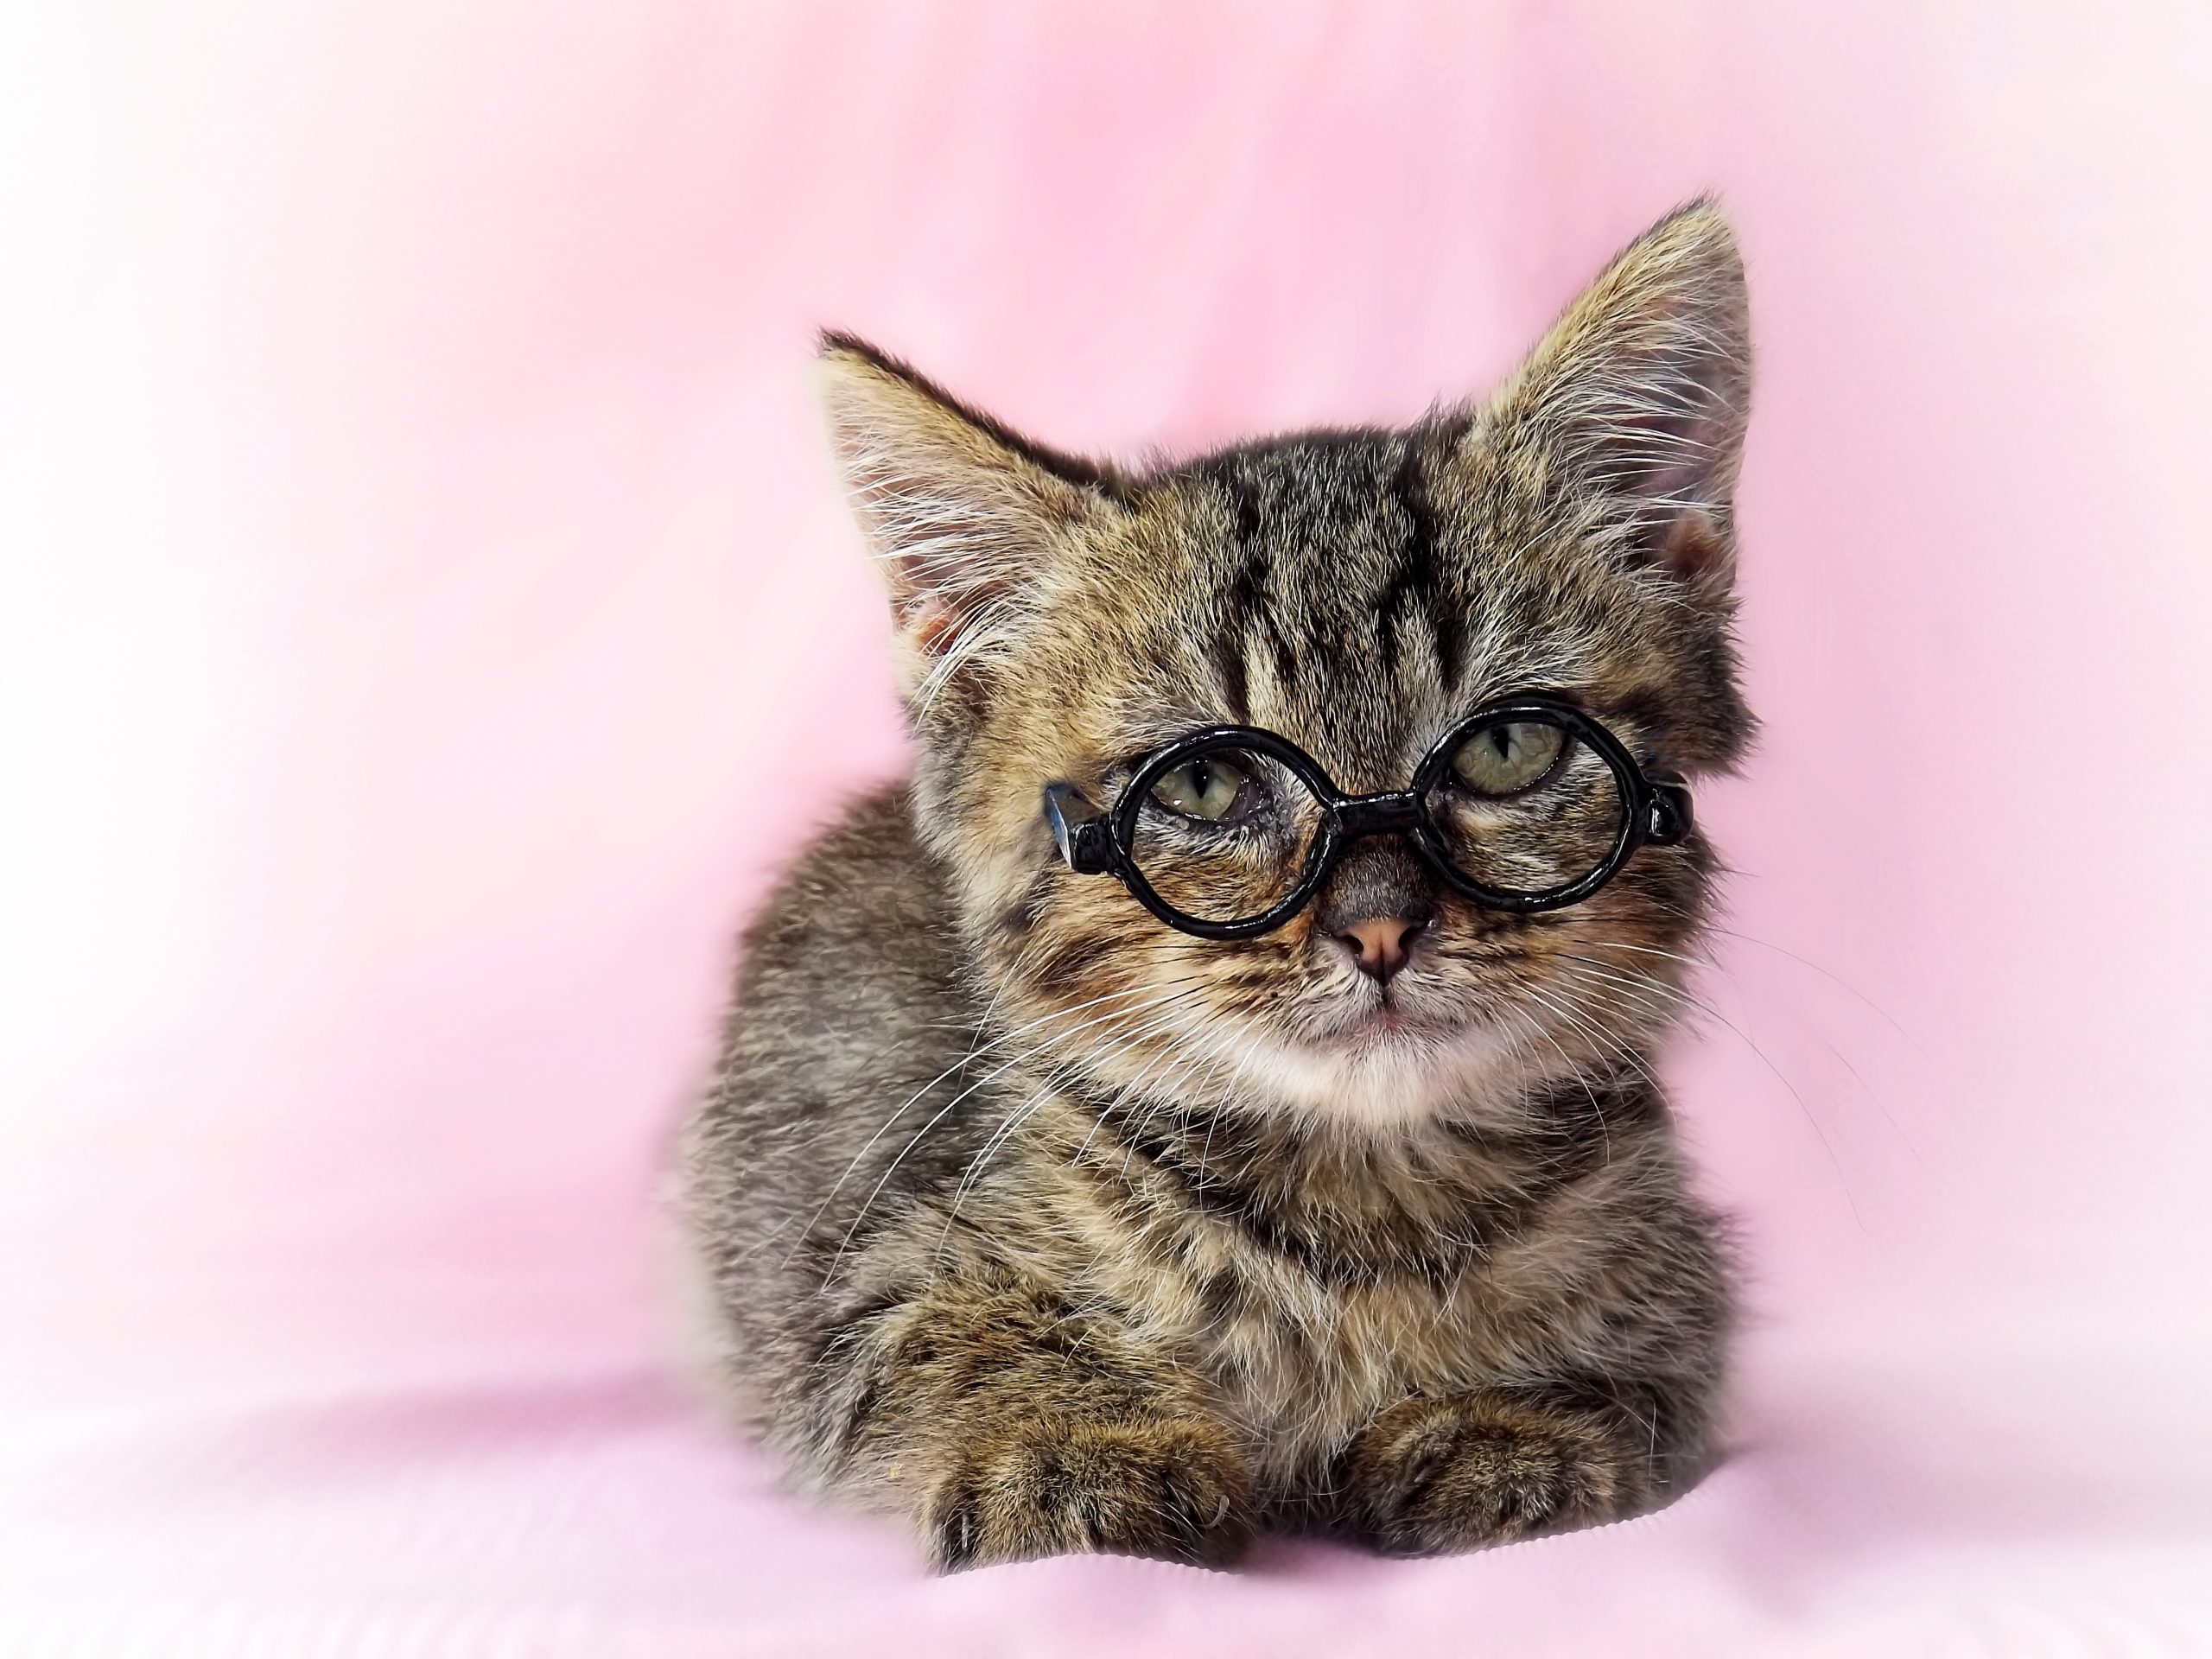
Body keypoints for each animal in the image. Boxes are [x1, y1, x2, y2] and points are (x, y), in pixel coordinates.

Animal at [681, 207, 1751, 1574]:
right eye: (1205, 783)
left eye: (1509, 750)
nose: (1378, 924)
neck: (1365, 1209)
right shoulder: (860, 1281)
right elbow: (945, 1338)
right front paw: (1078, 1444)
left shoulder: (1684, 1294)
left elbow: (1641, 1373)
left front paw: (1514, 1420)